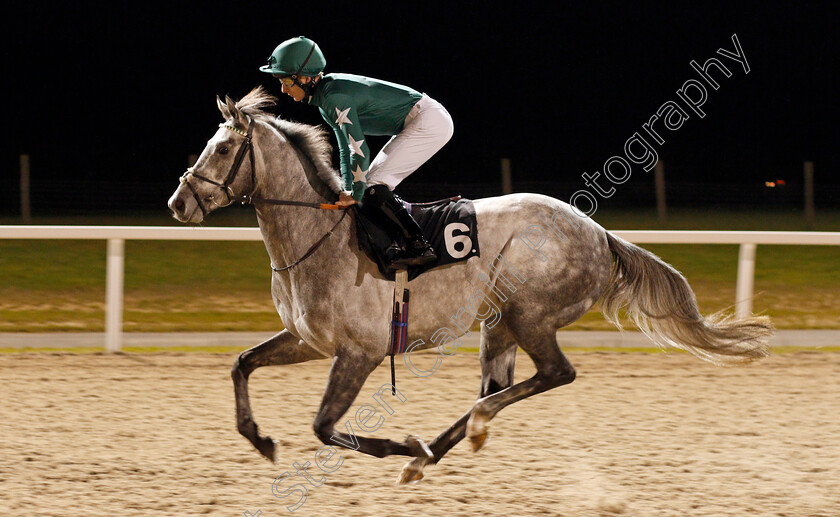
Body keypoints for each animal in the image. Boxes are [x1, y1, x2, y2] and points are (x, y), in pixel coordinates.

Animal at [166, 86, 776, 482]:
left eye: (224, 148)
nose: (179, 203)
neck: (318, 235)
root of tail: (600, 233)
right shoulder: (308, 341)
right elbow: (241, 363)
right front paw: (260, 438)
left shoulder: (359, 351)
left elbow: (323, 426)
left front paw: (396, 443)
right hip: (498, 322)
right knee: (494, 386)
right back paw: (433, 451)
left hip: (530, 314)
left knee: (553, 374)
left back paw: (444, 441)